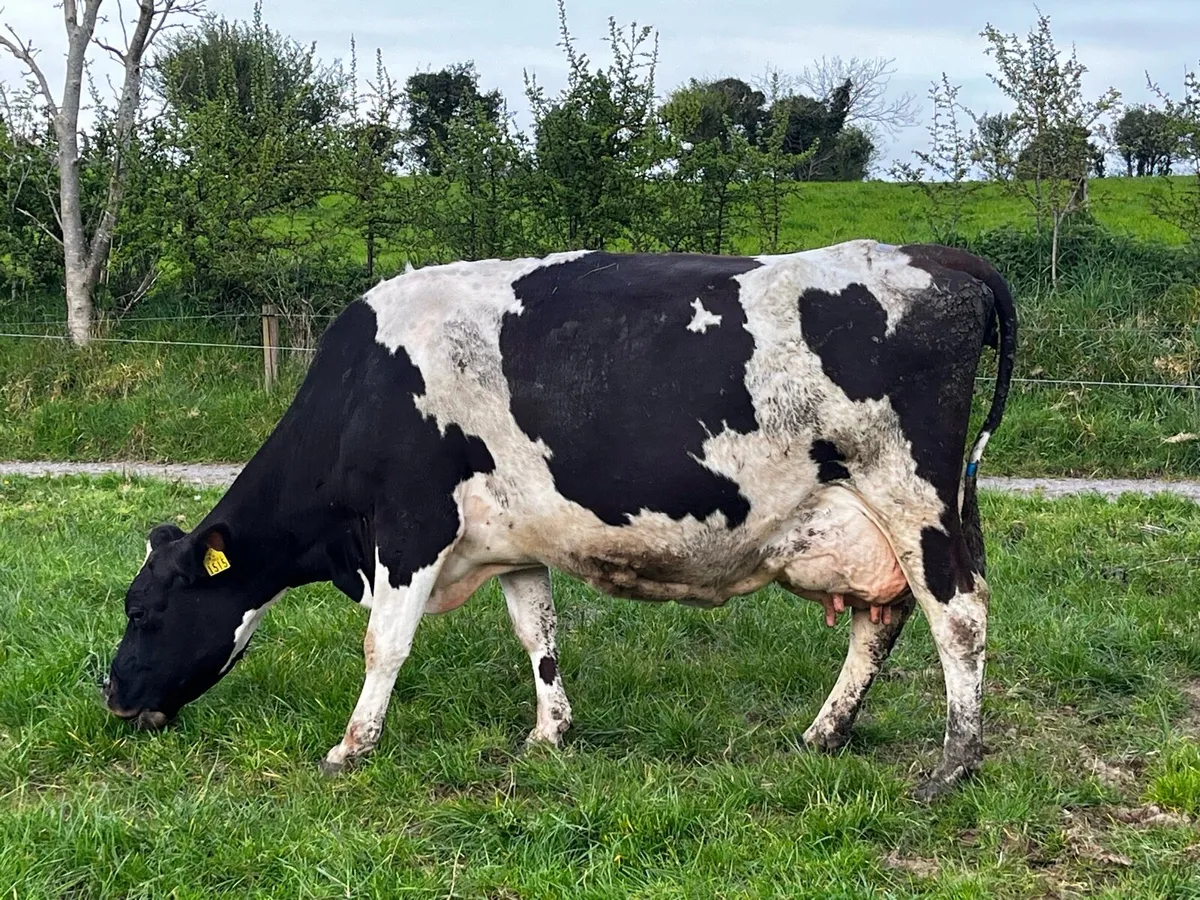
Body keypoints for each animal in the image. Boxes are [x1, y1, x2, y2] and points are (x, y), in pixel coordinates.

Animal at [103, 240, 1016, 800]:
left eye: (144, 611)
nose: (112, 697)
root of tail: (937, 255)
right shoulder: (510, 541)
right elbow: (536, 633)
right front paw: (550, 734)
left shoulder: (410, 529)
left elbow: (383, 644)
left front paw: (351, 747)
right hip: (879, 515)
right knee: (882, 620)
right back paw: (823, 734)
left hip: (914, 495)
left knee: (960, 616)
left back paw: (955, 765)